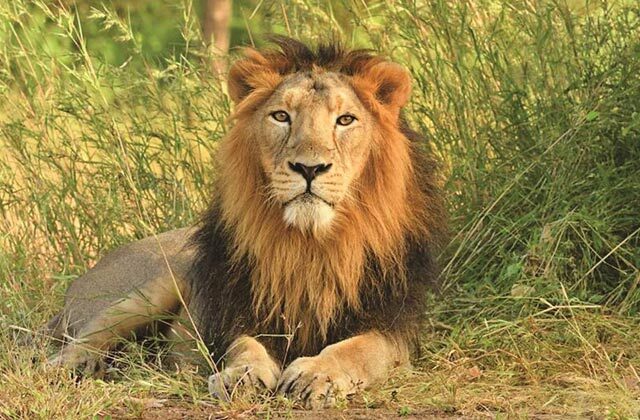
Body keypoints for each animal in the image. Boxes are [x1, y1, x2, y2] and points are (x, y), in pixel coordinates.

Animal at [44, 37, 446, 409]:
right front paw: (243, 375)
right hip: (152, 286)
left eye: (345, 120)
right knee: (87, 337)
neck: (311, 243)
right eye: (281, 116)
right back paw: (68, 367)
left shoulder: (393, 326)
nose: (309, 168)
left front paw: (316, 375)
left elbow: (358, 349)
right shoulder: (238, 311)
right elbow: (244, 346)